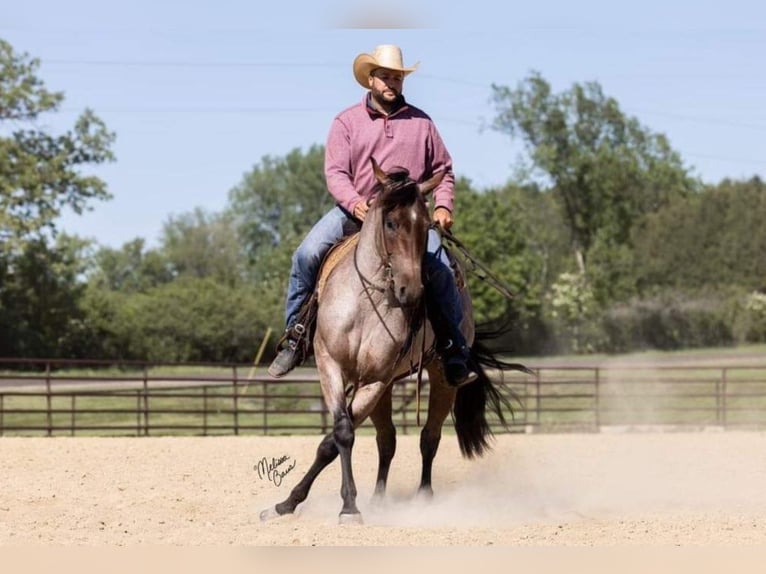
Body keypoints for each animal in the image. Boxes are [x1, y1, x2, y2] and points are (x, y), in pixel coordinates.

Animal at [260, 158, 524, 528]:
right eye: (390, 222)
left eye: (426, 224)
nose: (410, 290)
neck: (366, 299)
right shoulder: (332, 367)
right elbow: (341, 434)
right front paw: (288, 504)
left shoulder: (375, 379)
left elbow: (335, 440)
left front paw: (347, 506)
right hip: (384, 390)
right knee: (387, 440)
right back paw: (379, 499)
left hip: (439, 379)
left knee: (429, 436)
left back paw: (424, 499)